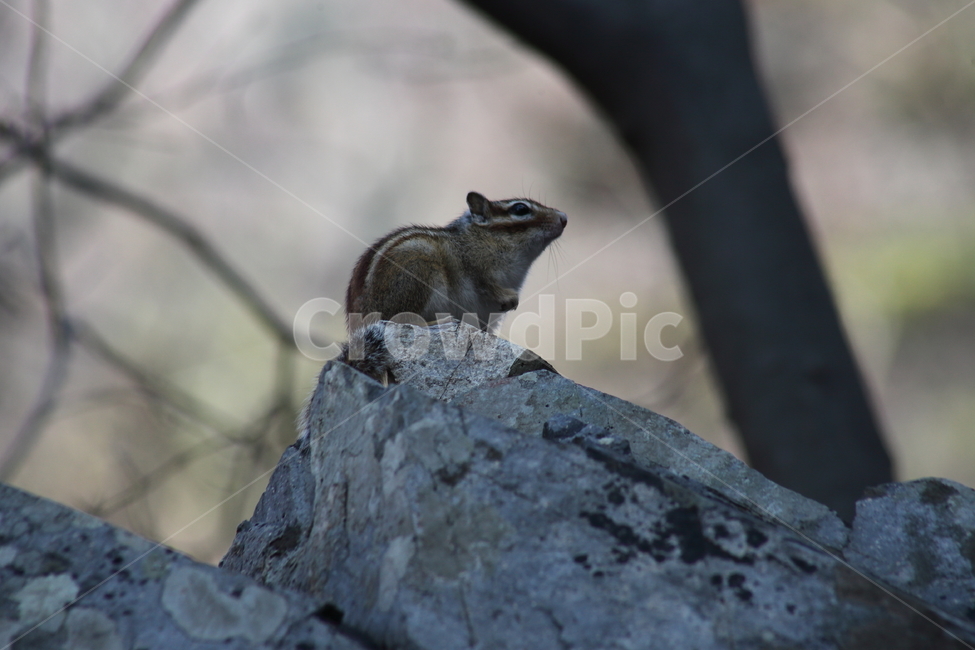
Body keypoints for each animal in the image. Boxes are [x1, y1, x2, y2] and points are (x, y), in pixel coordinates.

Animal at [339, 191, 567, 383]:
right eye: (520, 209)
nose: (564, 217)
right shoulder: (476, 266)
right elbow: (486, 284)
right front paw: (509, 298)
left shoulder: (489, 318)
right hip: (417, 269)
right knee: (401, 323)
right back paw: (441, 322)